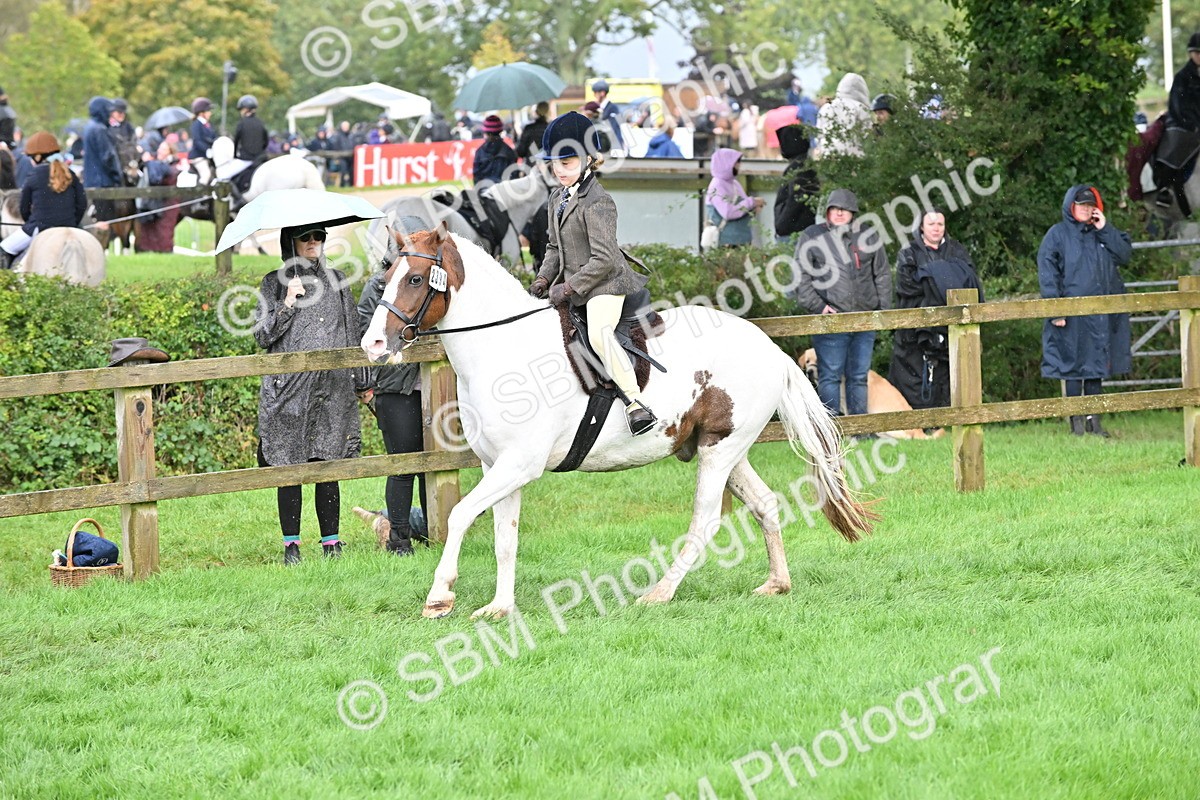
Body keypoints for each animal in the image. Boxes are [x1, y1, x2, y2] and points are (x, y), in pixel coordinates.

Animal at [360, 228, 876, 621]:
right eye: (385, 278)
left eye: (414, 278)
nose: (372, 345)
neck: (502, 351)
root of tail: (769, 348)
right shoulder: (499, 467)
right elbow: (506, 537)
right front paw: (500, 608)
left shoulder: (519, 464)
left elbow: (460, 514)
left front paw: (439, 596)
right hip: (724, 448)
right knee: (766, 504)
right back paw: (776, 584)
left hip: (719, 451)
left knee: (705, 519)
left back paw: (659, 593)